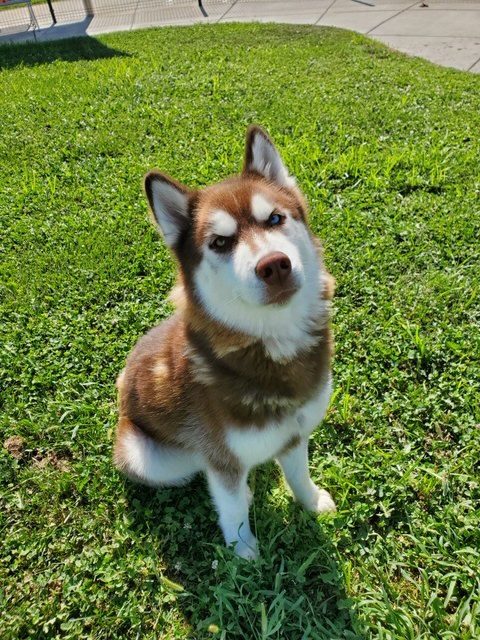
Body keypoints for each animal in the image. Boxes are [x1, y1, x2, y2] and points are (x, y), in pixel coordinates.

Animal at [114, 127, 336, 556]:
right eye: (219, 242)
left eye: (275, 218)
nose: (274, 265)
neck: (271, 347)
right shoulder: (222, 456)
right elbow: (231, 509)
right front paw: (244, 553)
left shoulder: (295, 434)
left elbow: (299, 475)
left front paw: (312, 501)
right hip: (145, 456)